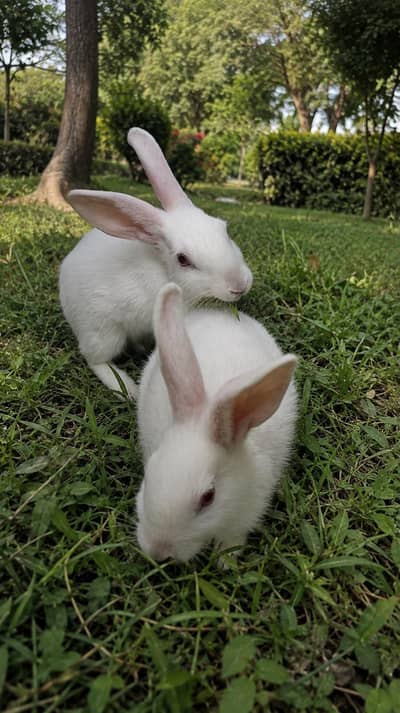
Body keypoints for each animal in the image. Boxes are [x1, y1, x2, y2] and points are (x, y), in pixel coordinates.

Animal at [60, 128, 253, 399]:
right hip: (103, 332)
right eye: (183, 260)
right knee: (95, 359)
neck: (165, 273)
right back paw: (127, 388)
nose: (239, 285)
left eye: (223, 229)